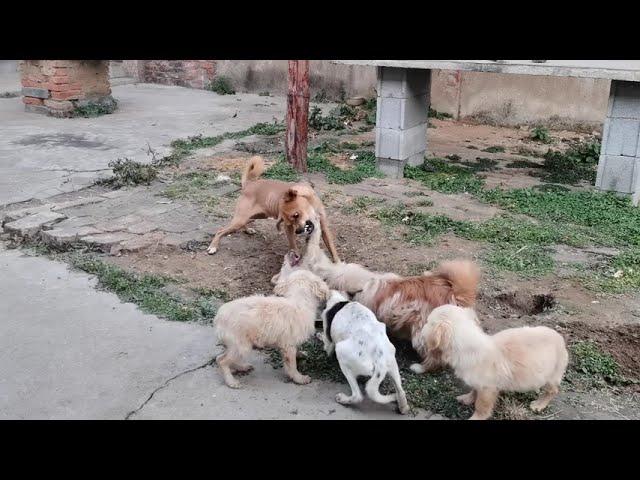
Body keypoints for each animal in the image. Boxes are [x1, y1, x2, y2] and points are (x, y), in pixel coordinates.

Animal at [208, 157, 342, 262]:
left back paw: (248, 230)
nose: (298, 231)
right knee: (220, 230)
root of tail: (250, 184)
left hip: (254, 217)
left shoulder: (323, 226)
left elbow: (331, 247)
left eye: (296, 215)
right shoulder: (288, 228)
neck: (309, 202)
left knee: (242, 224)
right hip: (240, 219)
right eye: (292, 219)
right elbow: (293, 246)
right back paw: (213, 247)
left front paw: (338, 263)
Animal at [215, 251, 330, 390]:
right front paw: (299, 378)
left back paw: (242, 367)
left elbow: (295, 353)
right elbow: (292, 365)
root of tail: (219, 317)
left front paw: (300, 354)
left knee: (221, 357)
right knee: (222, 360)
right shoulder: (288, 346)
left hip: (236, 345)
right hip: (241, 345)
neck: (299, 300)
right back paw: (231, 381)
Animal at [422, 304, 568, 420]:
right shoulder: (478, 383)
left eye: (427, 321)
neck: (468, 346)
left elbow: (481, 406)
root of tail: (560, 338)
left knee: (552, 391)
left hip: (552, 376)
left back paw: (539, 404)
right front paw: (467, 399)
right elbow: (474, 390)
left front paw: (476, 417)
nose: (421, 330)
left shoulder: (488, 388)